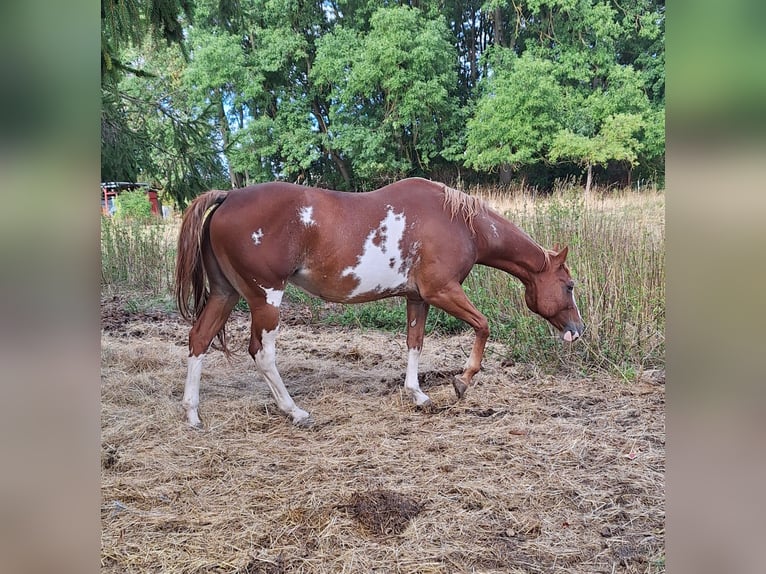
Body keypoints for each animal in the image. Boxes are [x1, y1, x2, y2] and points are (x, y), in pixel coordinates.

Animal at [174, 177, 584, 427]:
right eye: (568, 286)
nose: (577, 330)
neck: (458, 222)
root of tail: (227, 197)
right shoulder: (442, 291)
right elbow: (482, 326)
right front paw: (461, 381)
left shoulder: (418, 298)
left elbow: (415, 344)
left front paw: (418, 395)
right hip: (266, 299)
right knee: (261, 353)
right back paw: (295, 411)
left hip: (225, 294)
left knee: (199, 340)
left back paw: (193, 415)